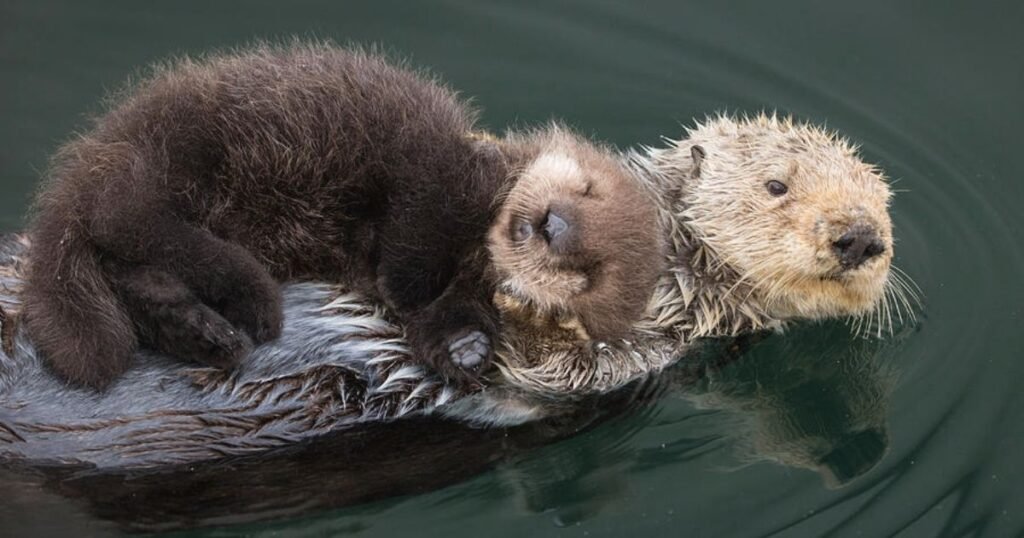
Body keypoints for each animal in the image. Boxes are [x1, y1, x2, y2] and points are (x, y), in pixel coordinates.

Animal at [21, 43, 664, 390]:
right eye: (587, 189)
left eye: (588, 272)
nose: (554, 225)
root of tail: (95, 155)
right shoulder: (436, 169)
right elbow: (418, 223)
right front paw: (407, 284)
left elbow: (438, 318)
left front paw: (467, 350)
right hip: (174, 155)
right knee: (128, 218)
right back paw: (250, 299)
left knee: (133, 263)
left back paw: (207, 331)